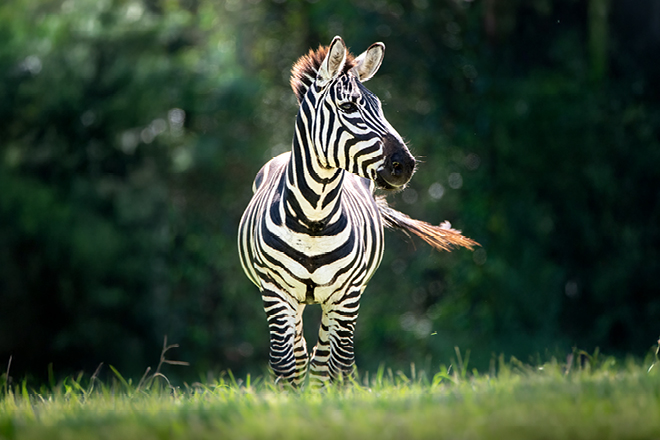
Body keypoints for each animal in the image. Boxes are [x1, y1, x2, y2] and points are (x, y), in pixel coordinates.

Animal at [238, 36, 477, 387]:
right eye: (348, 107)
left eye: (380, 107)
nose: (405, 166)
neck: (314, 218)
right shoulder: (275, 292)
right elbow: (285, 365)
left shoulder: (348, 294)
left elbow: (335, 366)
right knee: (302, 353)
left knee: (325, 358)